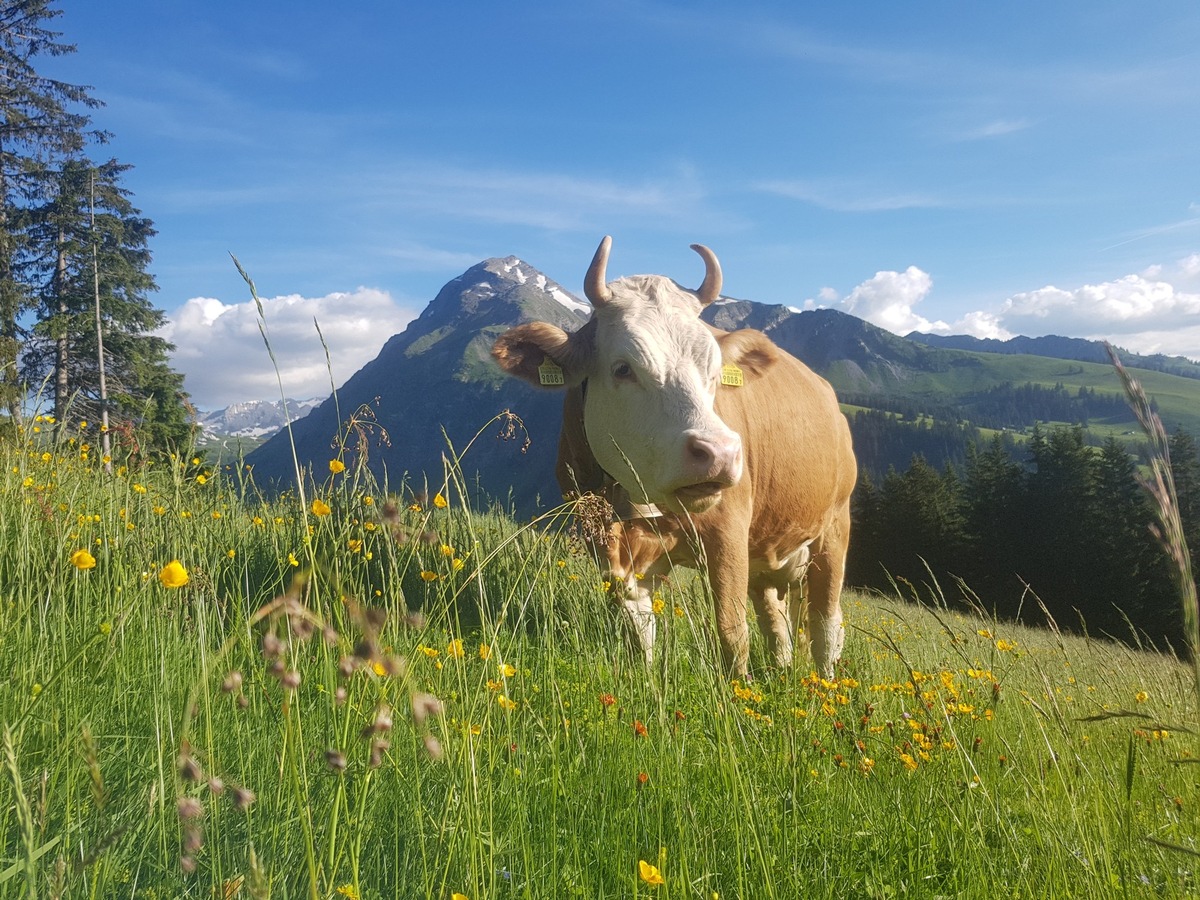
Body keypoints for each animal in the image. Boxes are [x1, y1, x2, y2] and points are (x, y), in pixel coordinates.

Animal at [492, 236, 859, 681]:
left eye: (715, 372)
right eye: (622, 368)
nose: (720, 452)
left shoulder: (728, 531)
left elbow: (731, 630)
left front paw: (739, 689)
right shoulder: (610, 542)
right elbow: (637, 628)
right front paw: (647, 681)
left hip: (835, 525)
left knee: (826, 623)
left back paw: (825, 683)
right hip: (771, 554)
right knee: (777, 621)